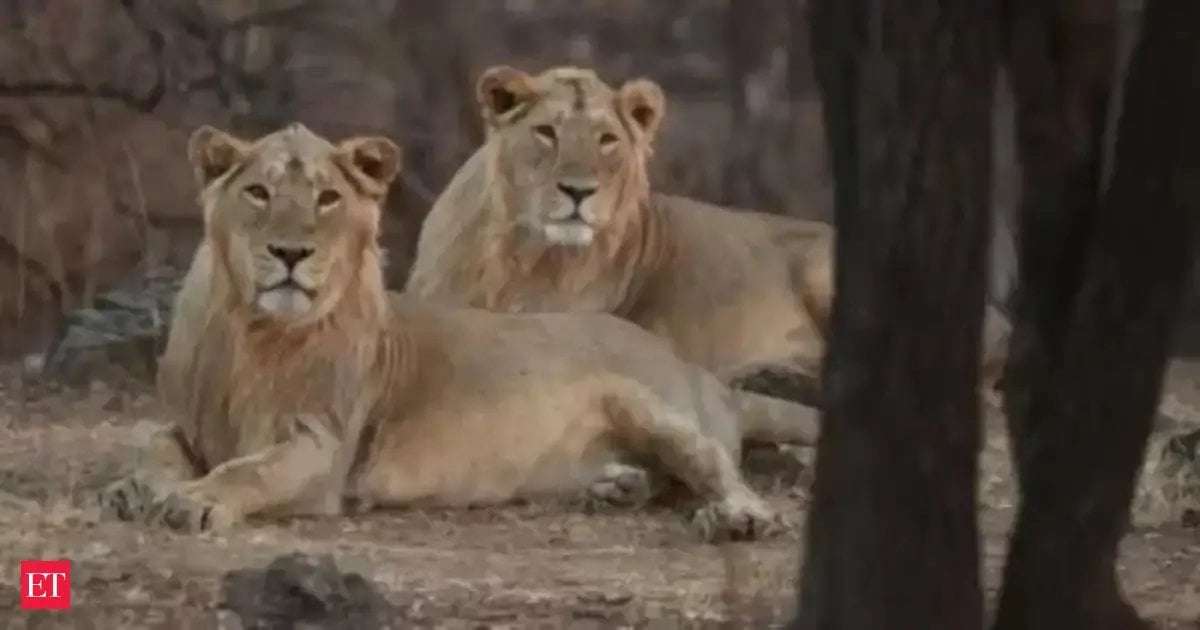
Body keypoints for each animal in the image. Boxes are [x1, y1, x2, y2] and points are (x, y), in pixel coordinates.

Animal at [98, 122, 821, 542]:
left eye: (328, 198)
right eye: (257, 192)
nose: (291, 254)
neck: (256, 331)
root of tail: (700, 373)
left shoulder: (324, 449)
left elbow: (249, 471)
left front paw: (192, 502)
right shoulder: (188, 425)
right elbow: (153, 446)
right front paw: (134, 489)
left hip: (649, 402)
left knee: (715, 464)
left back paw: (739, 518)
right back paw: (617, 487)